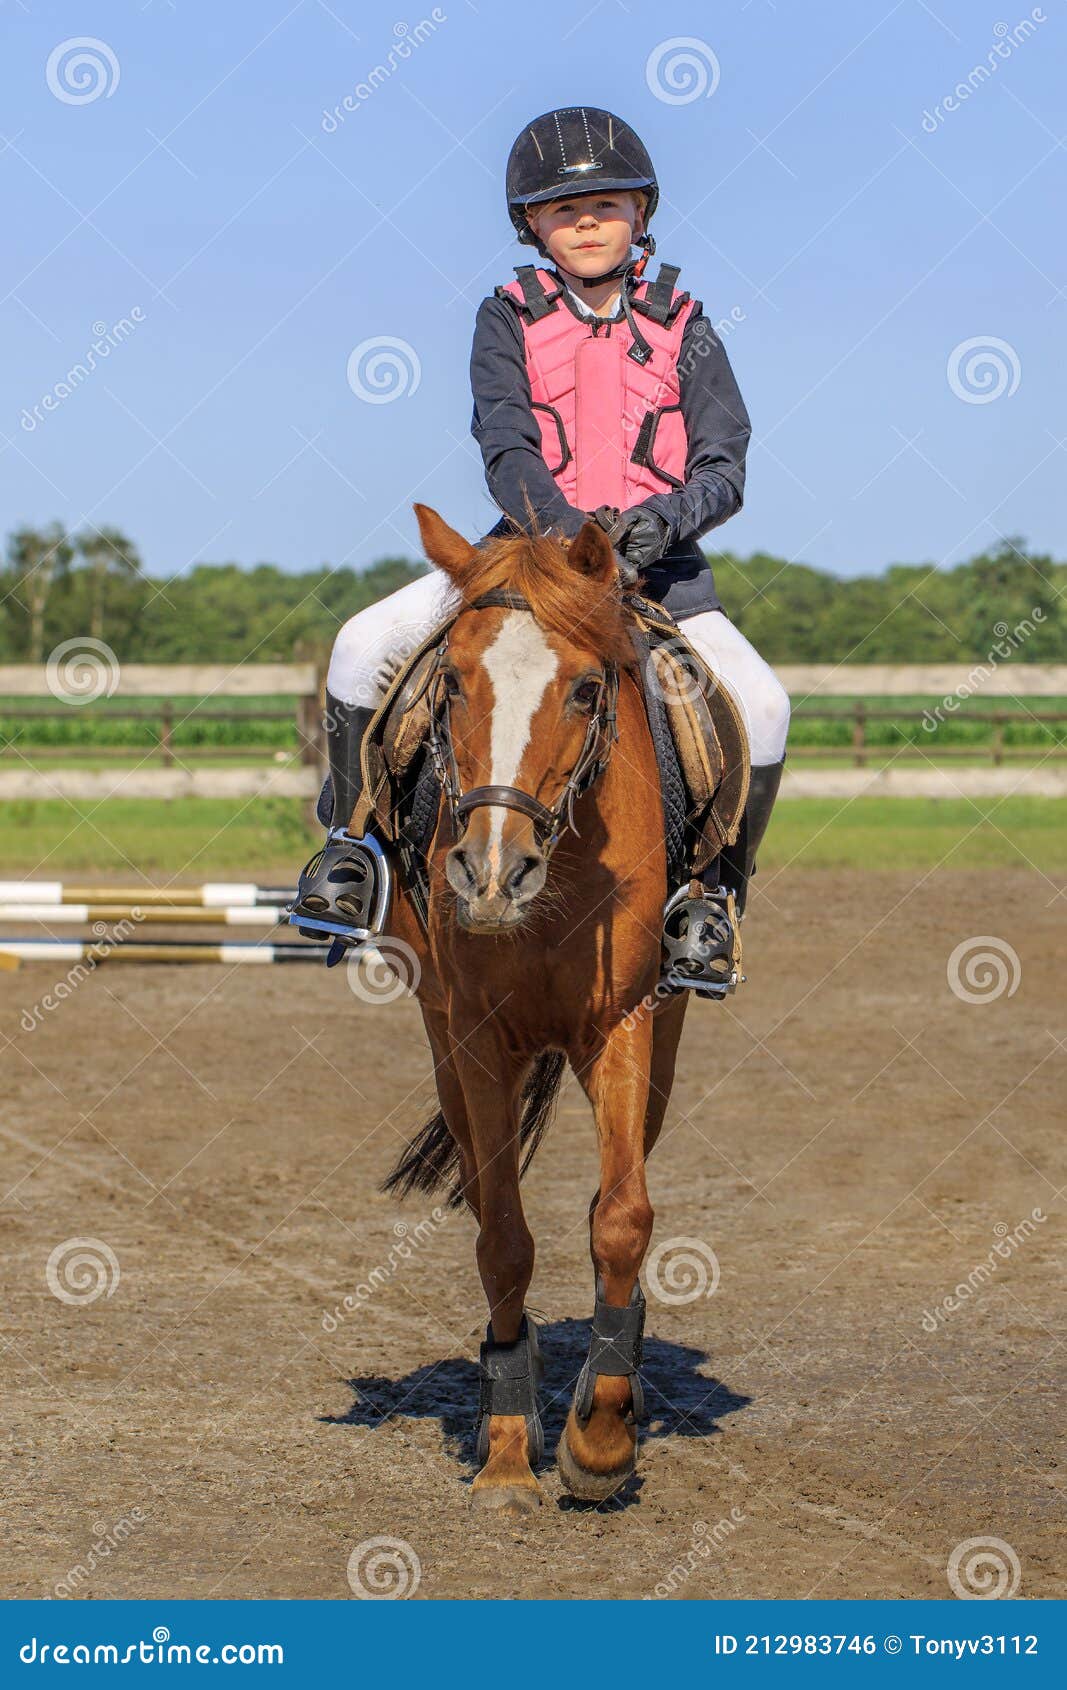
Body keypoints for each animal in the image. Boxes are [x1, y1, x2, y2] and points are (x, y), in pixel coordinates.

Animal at [380, 507, 689, 1514]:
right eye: (450, 685)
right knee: (487, 1196)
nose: (488, 875)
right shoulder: (477, 1039)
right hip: (442, 1037)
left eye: (588, 690)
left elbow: (621, 1218)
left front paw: (600, 1441)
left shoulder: (624, 1025)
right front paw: (511, 1449)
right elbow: (503, 1238)